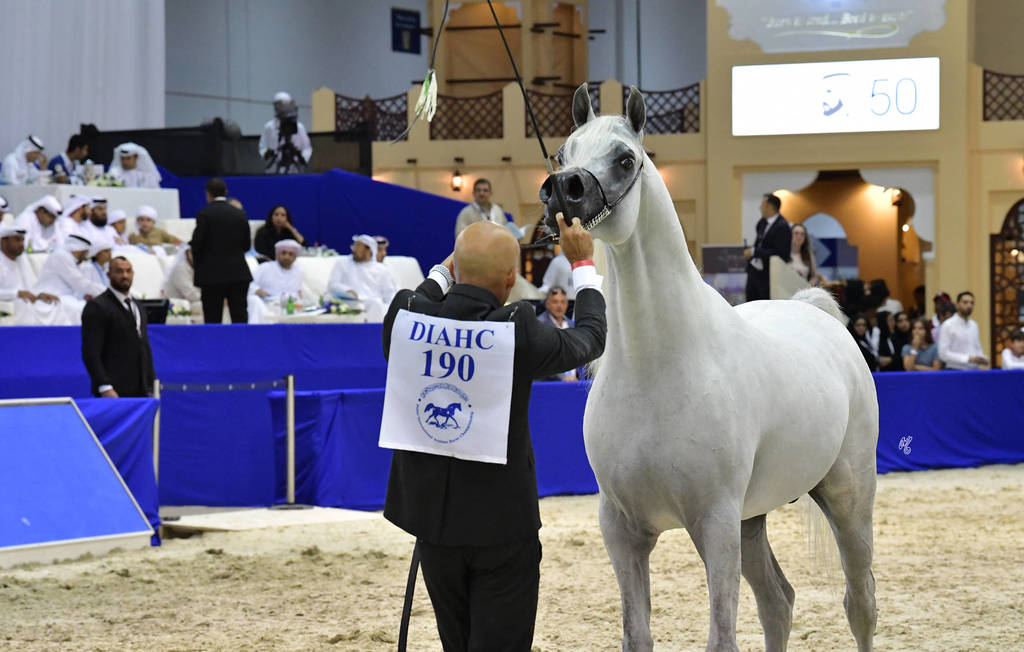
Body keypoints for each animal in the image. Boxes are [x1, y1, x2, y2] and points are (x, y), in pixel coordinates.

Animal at [538, 84, 878, 652]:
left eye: (625, 158)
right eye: (564, 153)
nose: (562, 191)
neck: (660, 366)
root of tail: (814, 310)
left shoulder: (715, 524)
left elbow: (721, 637)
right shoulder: (622, 529)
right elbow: (637, 634)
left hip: (848, 496)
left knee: (861, 606)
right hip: (752, 519)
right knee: (778, 602)